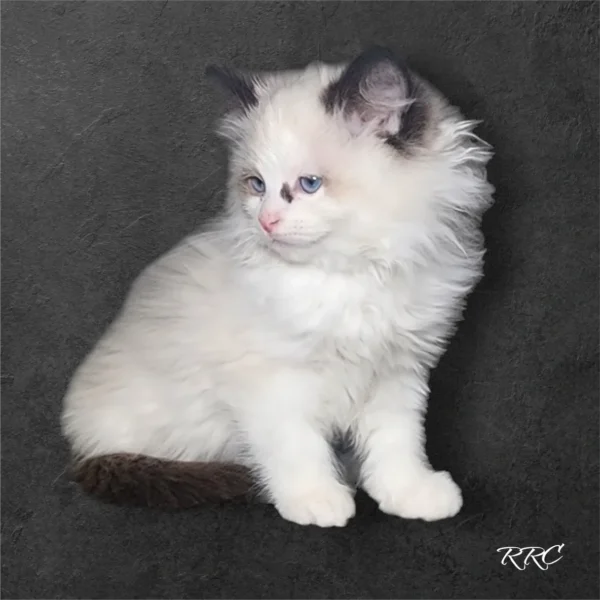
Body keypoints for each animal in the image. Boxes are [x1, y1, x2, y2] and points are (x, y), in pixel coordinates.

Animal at [62, 47, 492, 524]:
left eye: (309, 184)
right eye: (257, 185)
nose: (266, 222)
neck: (351, 276)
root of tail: (80, 447)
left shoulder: (398, 373)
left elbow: (398, 444)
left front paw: (409, 493)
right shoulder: (272, 384)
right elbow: (297, 447)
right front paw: (316, 499)